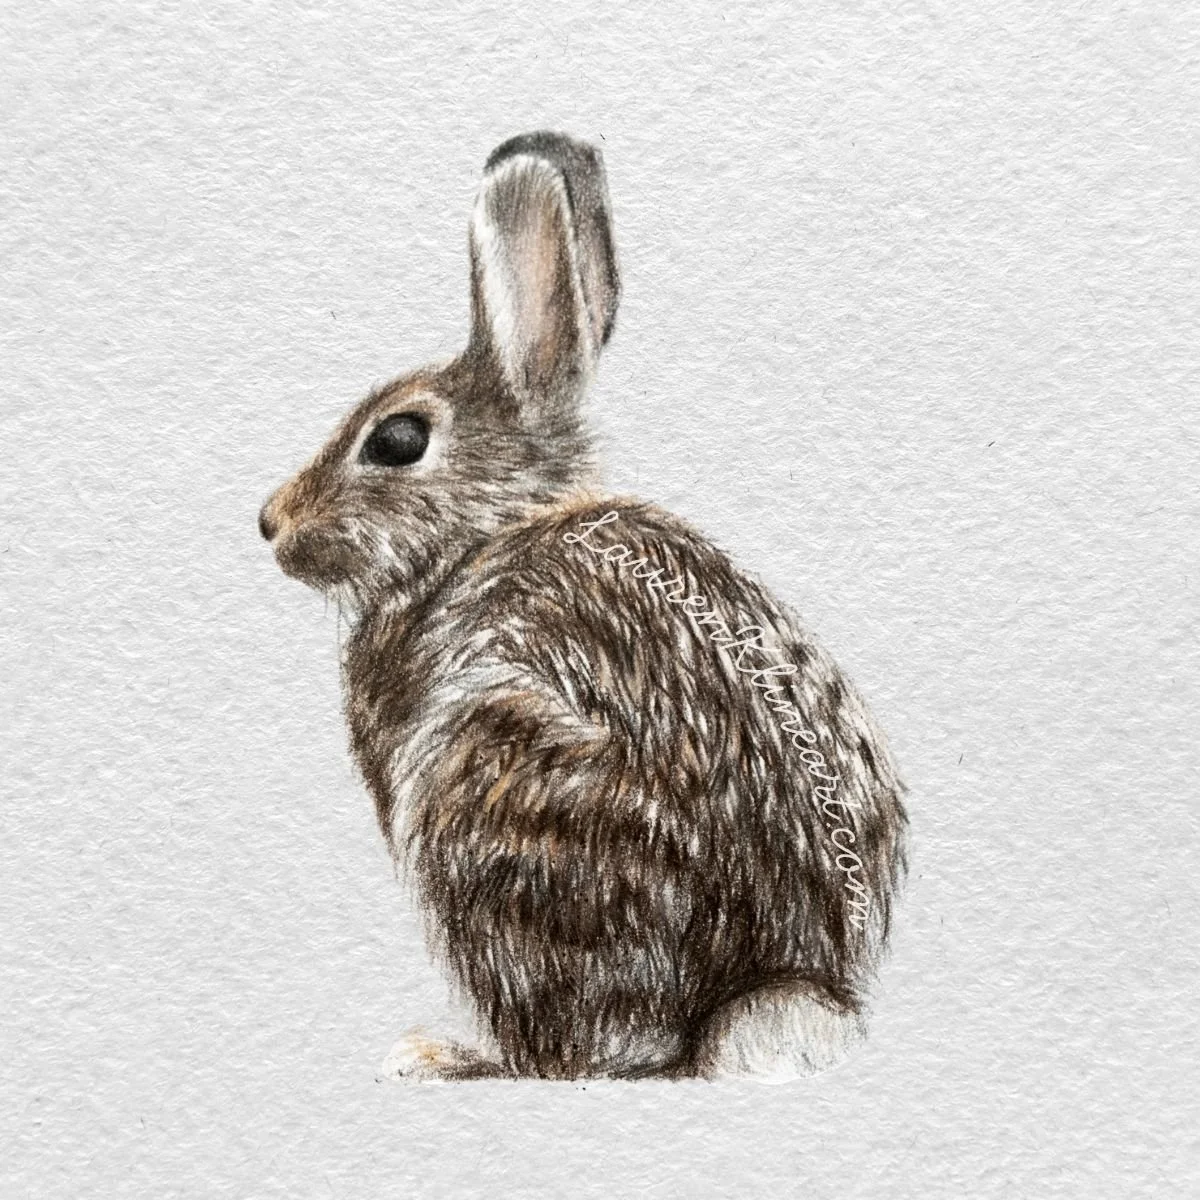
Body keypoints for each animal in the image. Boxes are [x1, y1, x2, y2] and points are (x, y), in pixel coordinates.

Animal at [259, 131, 909, 1081]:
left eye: (399, 439)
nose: (271, 523)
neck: (479, 536)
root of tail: (771, 987)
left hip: (500, 802)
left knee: (572, 1055)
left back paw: (449, 1057)